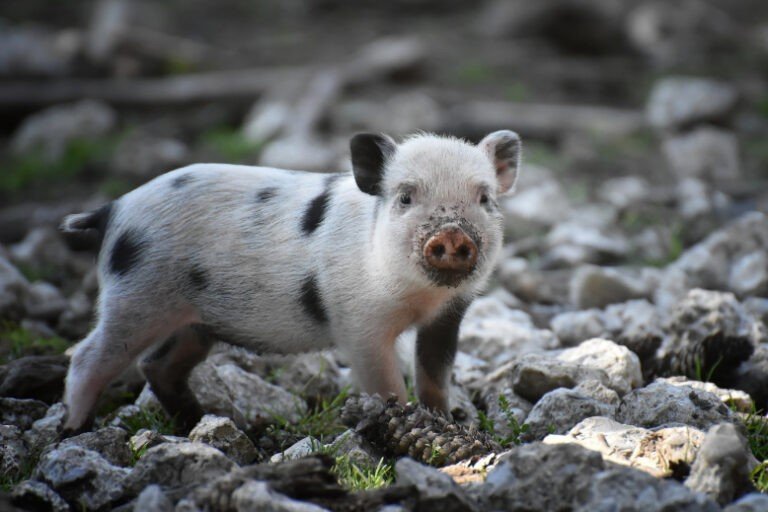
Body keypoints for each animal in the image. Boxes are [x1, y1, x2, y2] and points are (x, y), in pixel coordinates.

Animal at [59, 130, 522, 434]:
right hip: (134, 297)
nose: (452, 234)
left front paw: (444, 422)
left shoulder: (449, 316)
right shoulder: (358, 323)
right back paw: (75, 431)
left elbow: (435, 375)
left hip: (193, 322)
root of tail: (114, 209)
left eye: (484, 199)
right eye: (405, 197)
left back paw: (206, 422)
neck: (421, 299)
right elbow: (387, 383)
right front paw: (401, 419)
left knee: (157, 365)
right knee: (87, 356)